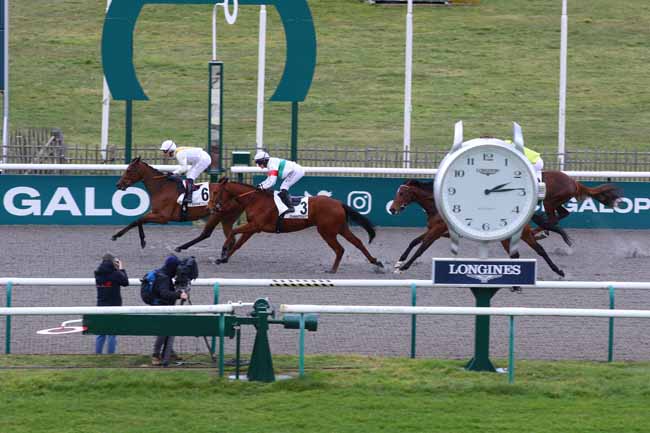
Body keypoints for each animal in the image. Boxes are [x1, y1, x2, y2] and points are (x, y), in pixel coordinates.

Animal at [208, 176, 382, 272]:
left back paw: (332, 270)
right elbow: (238, 244)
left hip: (327, 231)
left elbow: (232, 232)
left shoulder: (255, 226)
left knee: (340, 249)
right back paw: (376, 262)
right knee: (357, 242)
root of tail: (339, 203)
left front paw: (223, 251)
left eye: (215, 192)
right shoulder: (252, 228)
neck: (254, 200)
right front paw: (223, 259)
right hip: (340, 228)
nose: (210, 207)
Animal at [388, 179, 564, 276]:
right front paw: (399, 262)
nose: (392, 209)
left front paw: (403, 267)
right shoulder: (433, 230)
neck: (436, 206)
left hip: (523, 233)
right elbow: (413, 242)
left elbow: (421, 249)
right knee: (516, 255)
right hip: (507, 239)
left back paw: (559, 271)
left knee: (540, 250)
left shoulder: (436, 231)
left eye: (402, 194)